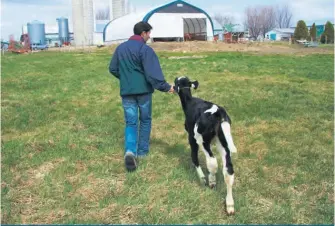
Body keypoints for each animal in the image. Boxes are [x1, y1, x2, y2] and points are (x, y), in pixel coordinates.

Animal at [175, 76, 238, 215]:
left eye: (176, 81)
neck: (189, 101)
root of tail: (218, 111)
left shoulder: (191, 137)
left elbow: (194, 157)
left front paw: (203, 179)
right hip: (223, 142)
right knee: (228, 170)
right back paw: (230, 205)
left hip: (201, 140)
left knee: (212, 162)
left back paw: (211, 181)